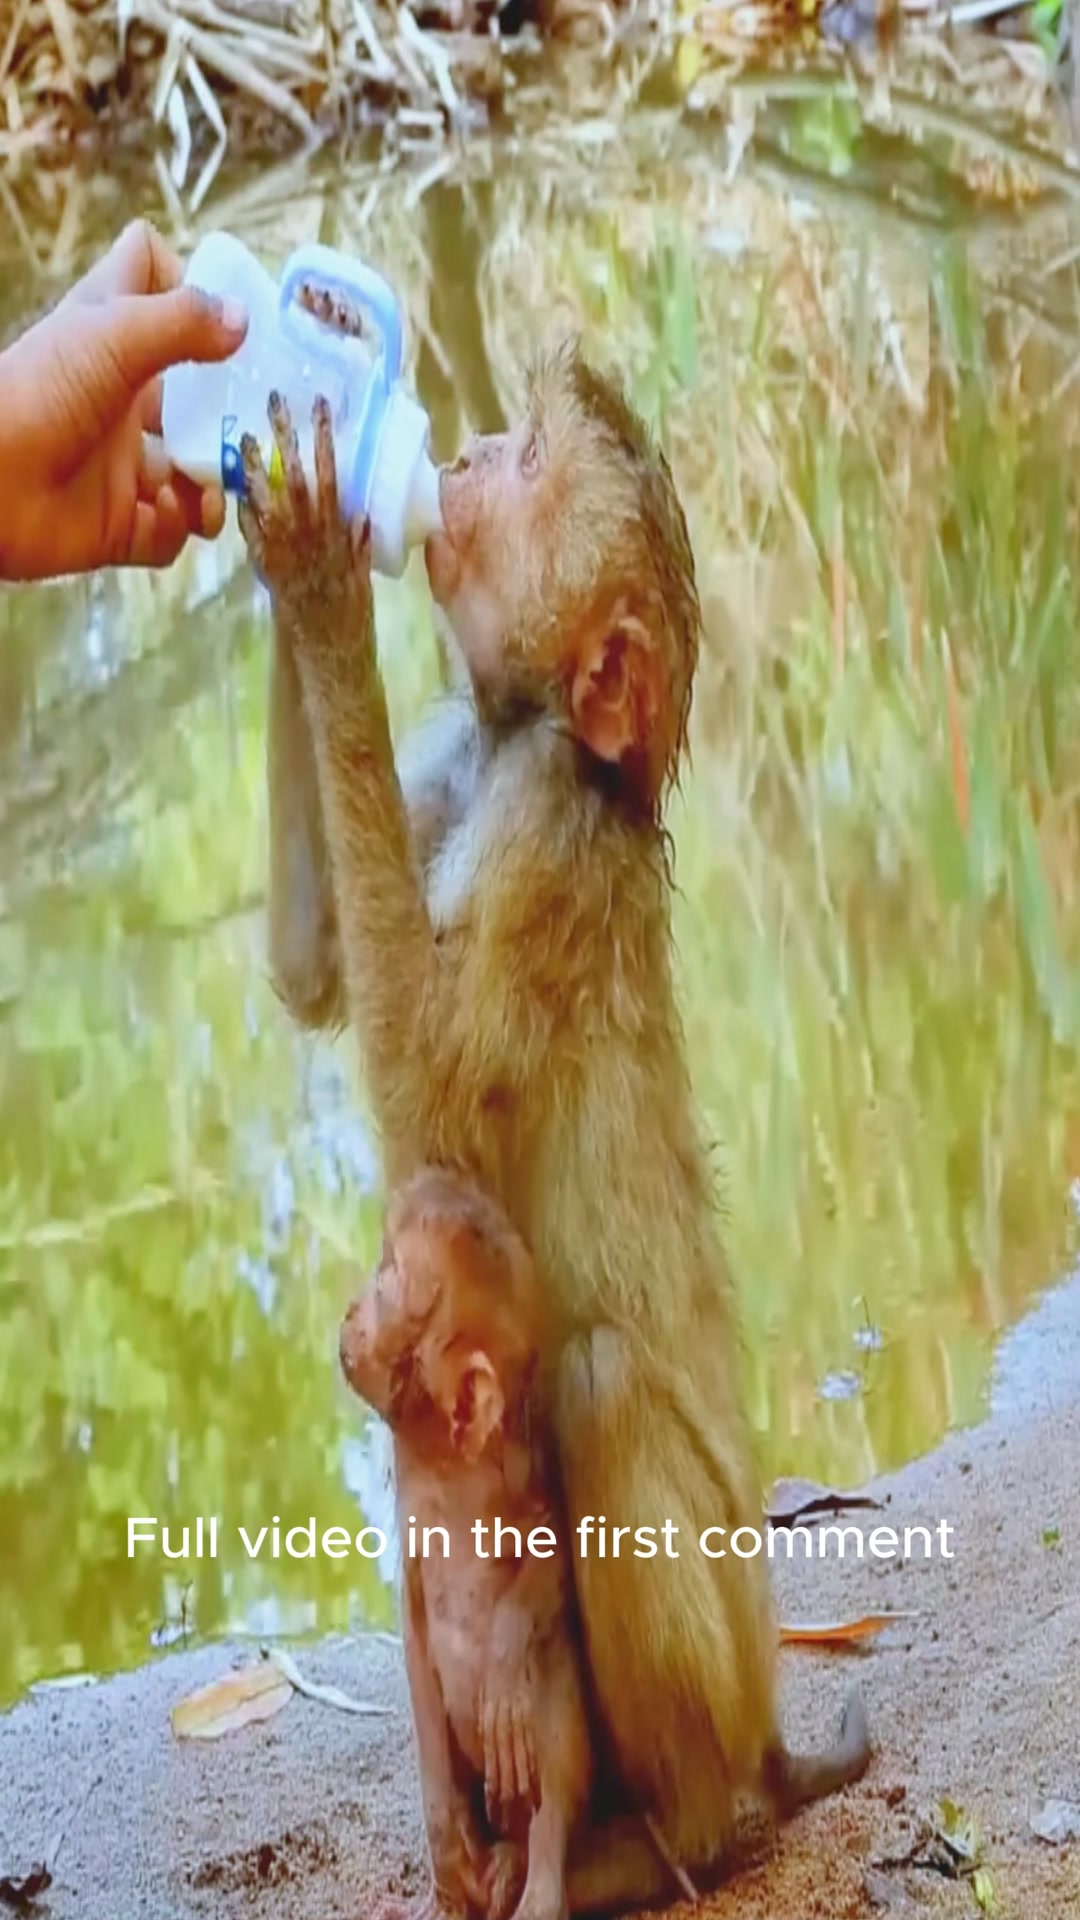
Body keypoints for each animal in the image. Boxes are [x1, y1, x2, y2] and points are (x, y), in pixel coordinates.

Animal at [238, 348, 871, 1909]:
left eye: (525, 464)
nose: (459, 457)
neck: (539, 742)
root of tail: (766, 1731)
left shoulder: (545, 833)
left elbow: (431, 1098)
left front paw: (320, 571)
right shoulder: (472, 759)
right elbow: (317, 974)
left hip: (725, 1658)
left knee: (591, 1385)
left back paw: (677, 1838)